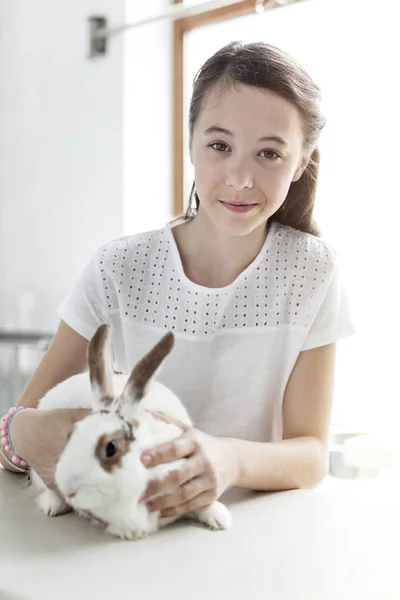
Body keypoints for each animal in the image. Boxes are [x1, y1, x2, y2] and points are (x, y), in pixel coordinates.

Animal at [30, 326, 231, 540]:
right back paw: (52, 505)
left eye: (111, 448)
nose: (68, 488)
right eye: (70, 436)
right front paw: (129, 533)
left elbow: (202, 504)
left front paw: (221, 518)